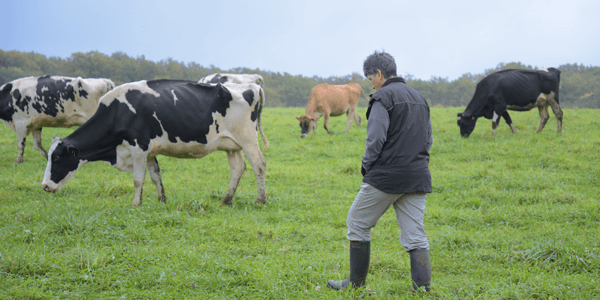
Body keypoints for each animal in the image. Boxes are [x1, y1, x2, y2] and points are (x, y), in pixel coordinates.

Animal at [41, 79, 268, 206]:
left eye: (57, 158)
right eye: (49, 157)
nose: (44, 186)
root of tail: (252, 86)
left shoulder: (139, 147)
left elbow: (137, 179)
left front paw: (135, 203)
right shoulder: (149, 151)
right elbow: (155, 177)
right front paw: (162, 200)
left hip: (248, 139)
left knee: (259, 165)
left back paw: (260, 200)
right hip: (232, 145)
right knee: (238, 169)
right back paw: (226, 200)